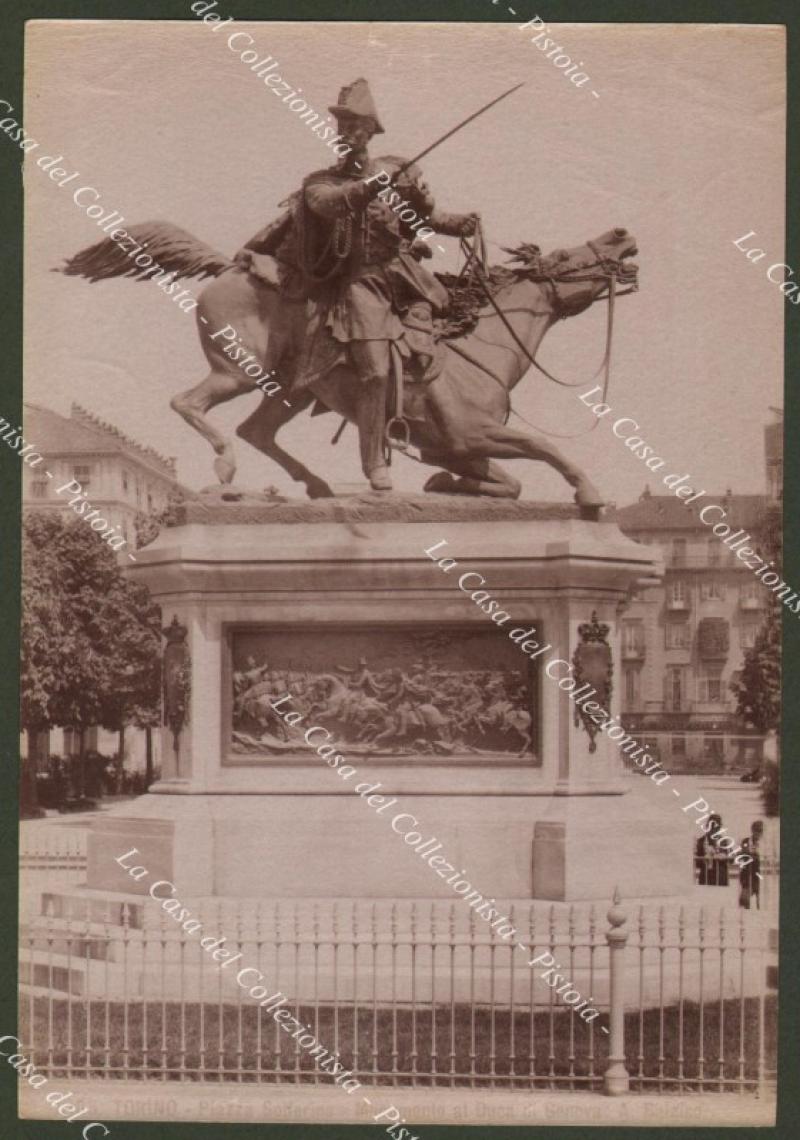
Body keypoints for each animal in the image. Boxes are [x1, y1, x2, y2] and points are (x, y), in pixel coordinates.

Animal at [60, 224, 638, 506]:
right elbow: (545, 447)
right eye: (563, 259)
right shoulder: (470, 436)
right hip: (239, 371)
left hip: (290, 390)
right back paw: (227, 473)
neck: (480, 348)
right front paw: (587, 492)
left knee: (256, 430)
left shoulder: (457, 450)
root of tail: (234, 266)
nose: (621, 235)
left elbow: (510, 484)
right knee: (192, 406)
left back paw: (318, 486)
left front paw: (442, 487)